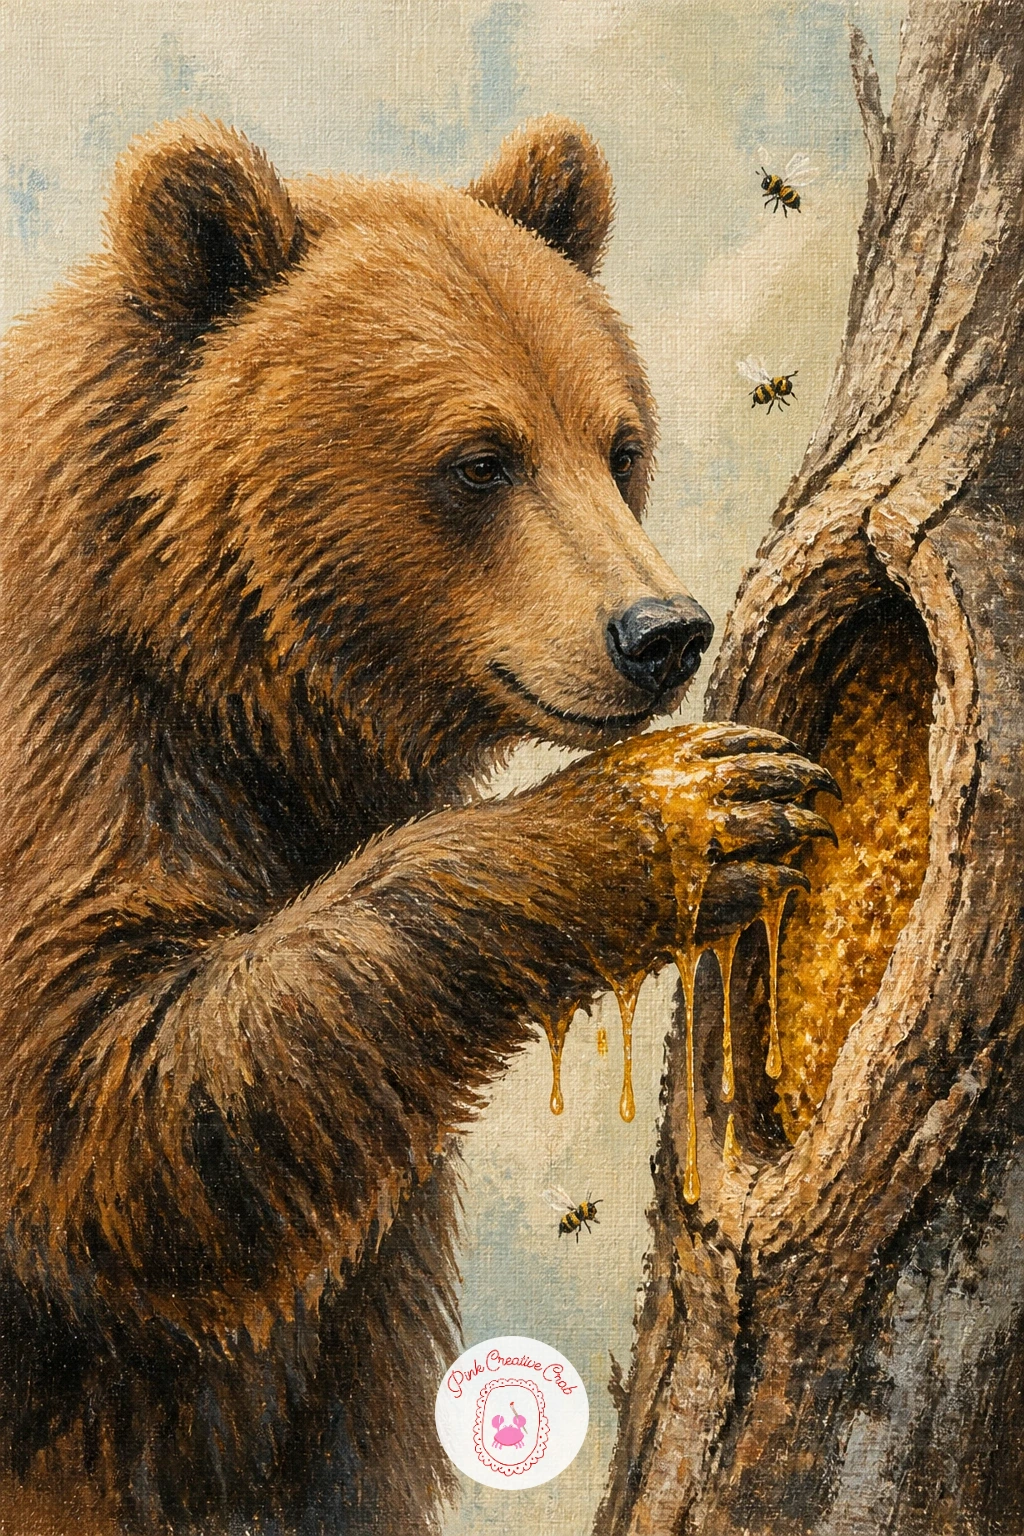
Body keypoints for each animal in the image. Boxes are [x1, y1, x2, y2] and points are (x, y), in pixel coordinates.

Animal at [0, 115, 833, 1535]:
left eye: (619, 443)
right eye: (480, 458)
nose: (662, 632)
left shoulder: (360, 1309)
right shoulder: (73, 751)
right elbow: (124, 1102)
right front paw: (684, 809)